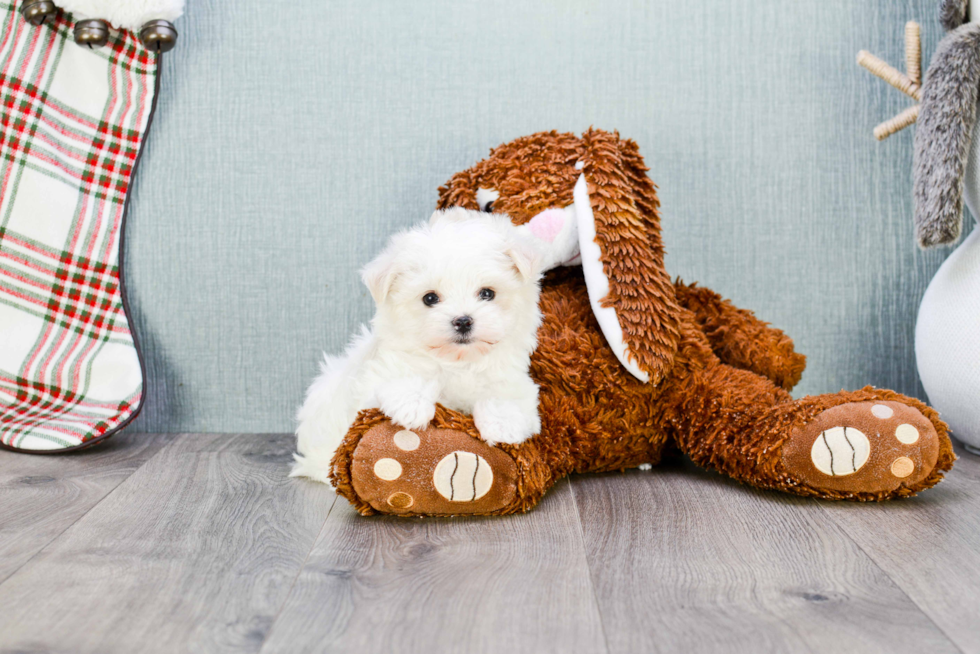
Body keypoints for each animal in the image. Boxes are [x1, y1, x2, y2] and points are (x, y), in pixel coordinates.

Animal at [290, 208, 544, 484]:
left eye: (487, 293)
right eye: (430, 298)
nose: (463, 321)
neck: (458, 362)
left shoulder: (512, 378)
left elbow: (504, 395)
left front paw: (503, 425)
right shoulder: (374, 379)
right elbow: (404, 377)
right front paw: (411, 407)